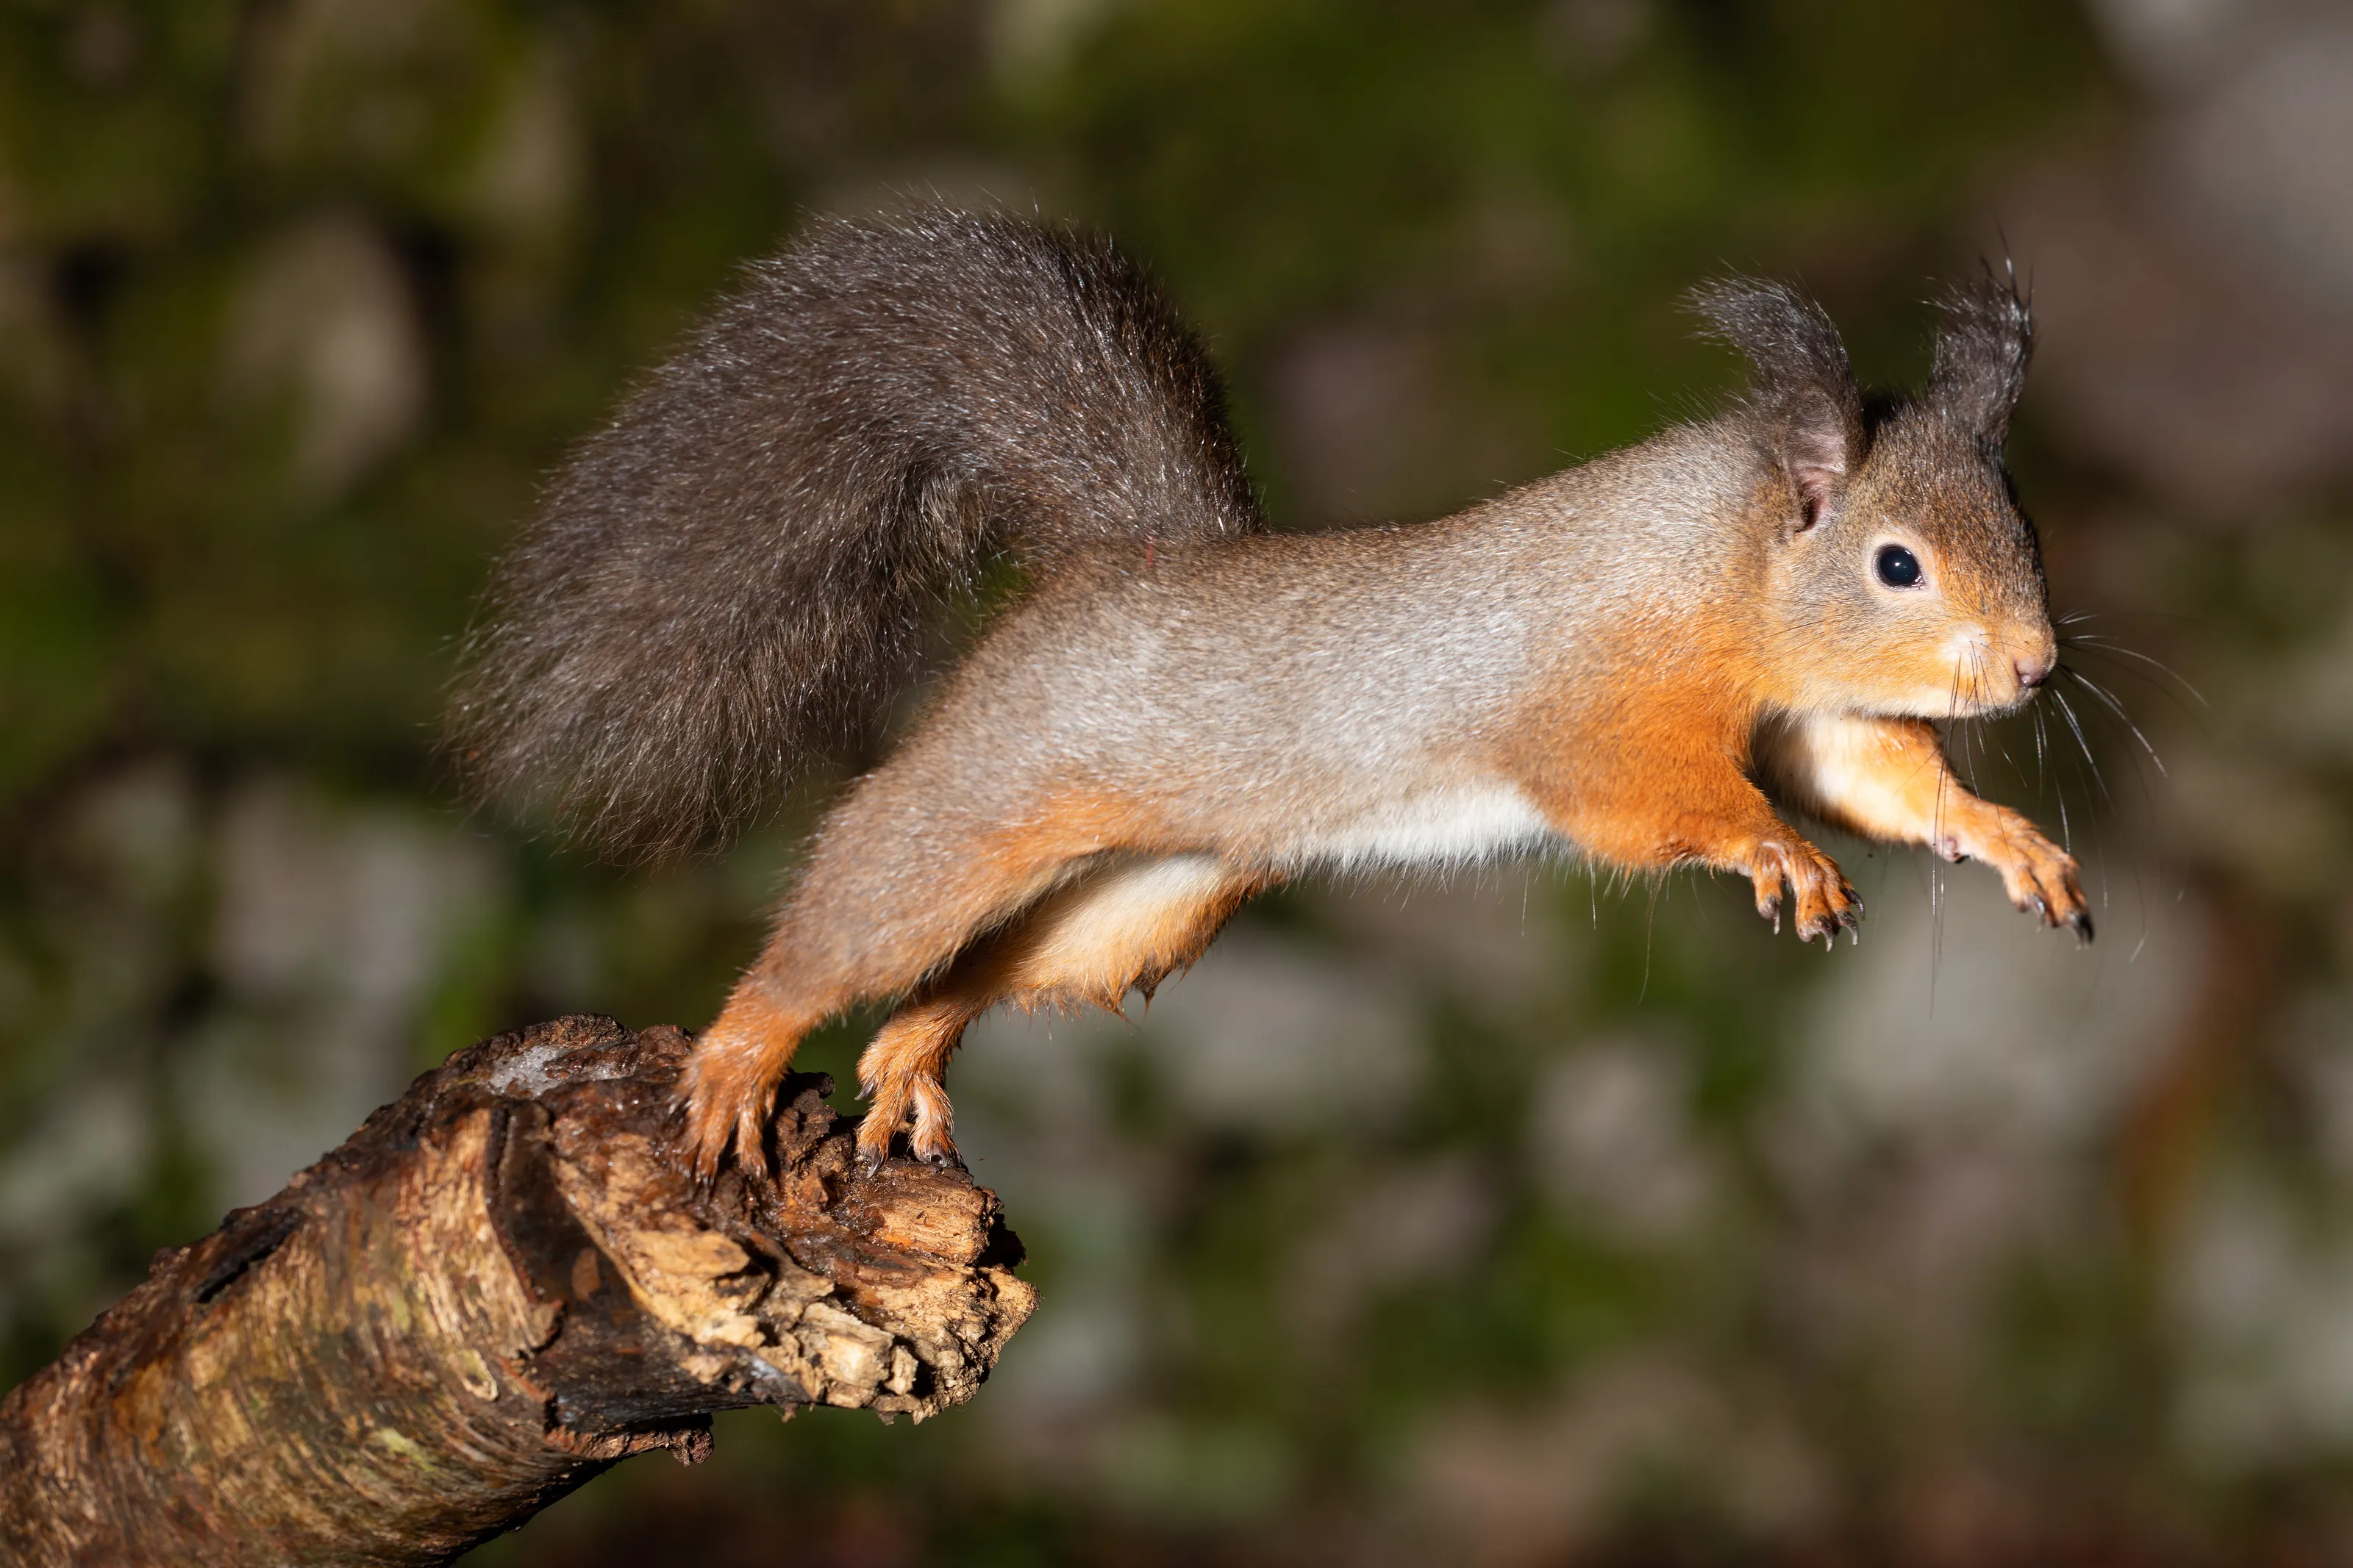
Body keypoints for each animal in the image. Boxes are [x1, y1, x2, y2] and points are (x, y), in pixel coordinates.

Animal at [451, 207, 2091, 1182]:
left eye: (2020, 518)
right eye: (1895, 564)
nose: (2034, 666)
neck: (1717, 562)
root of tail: (1114, 568)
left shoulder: (1809, 713)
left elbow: (1872, 775)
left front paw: (2005, 838)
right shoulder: (1591, 702)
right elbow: (1657, 799)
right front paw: (1773, 852)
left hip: (1144, 896)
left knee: (987, 969)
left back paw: (913, 1051)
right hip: (980, 805)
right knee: (851, 919)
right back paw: (740, 1056)